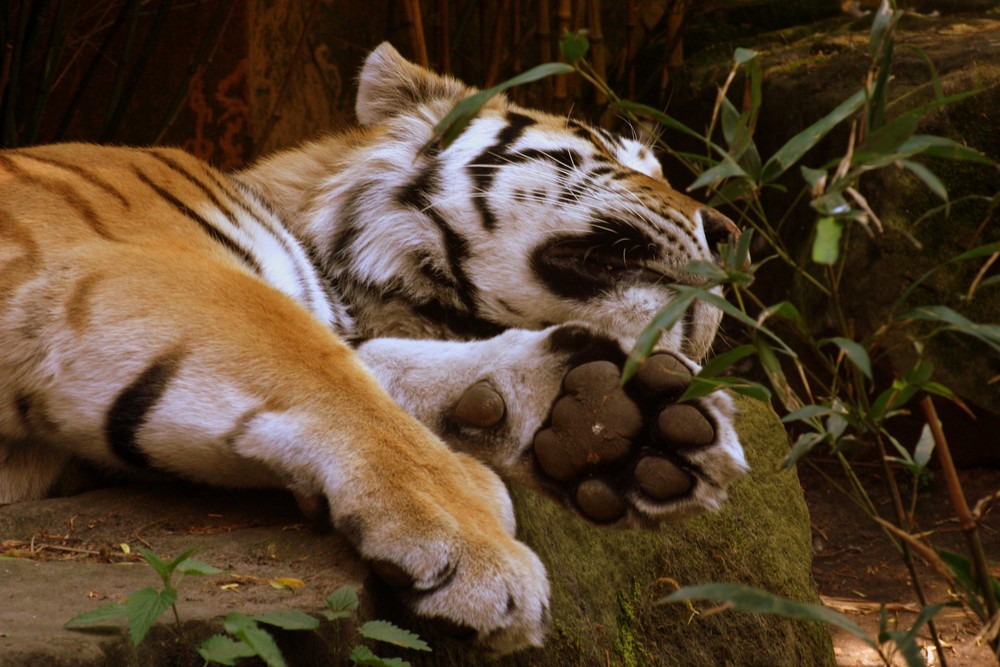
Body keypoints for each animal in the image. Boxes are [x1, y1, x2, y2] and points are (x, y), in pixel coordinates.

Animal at [0, 43, 748, 656]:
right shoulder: (137, 264)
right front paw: (479, 544)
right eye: (606, 150)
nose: (731, 232)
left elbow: (381, 365)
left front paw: (609, 411)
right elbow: (334, 378)